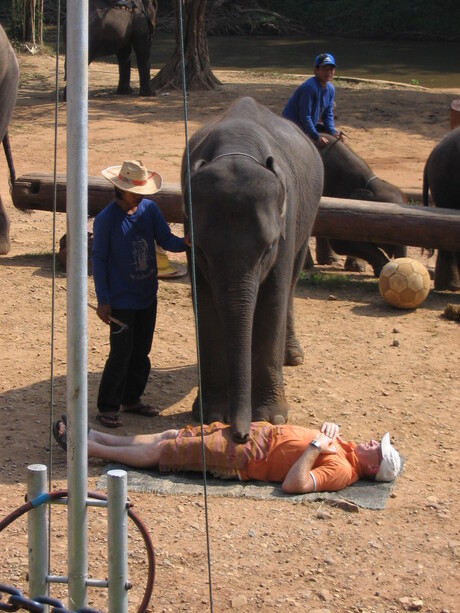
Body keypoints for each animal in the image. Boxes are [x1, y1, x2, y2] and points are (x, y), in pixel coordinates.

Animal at [181, 94, 324, 440]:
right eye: (201, 250)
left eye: (267, 250)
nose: (240, 435)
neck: (237, 147)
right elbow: (204, 305)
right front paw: (210, 414)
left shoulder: (287, 220)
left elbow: (273, 298)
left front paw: (273, 418)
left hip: (309, 215)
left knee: (291, 283)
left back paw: (292, 357)